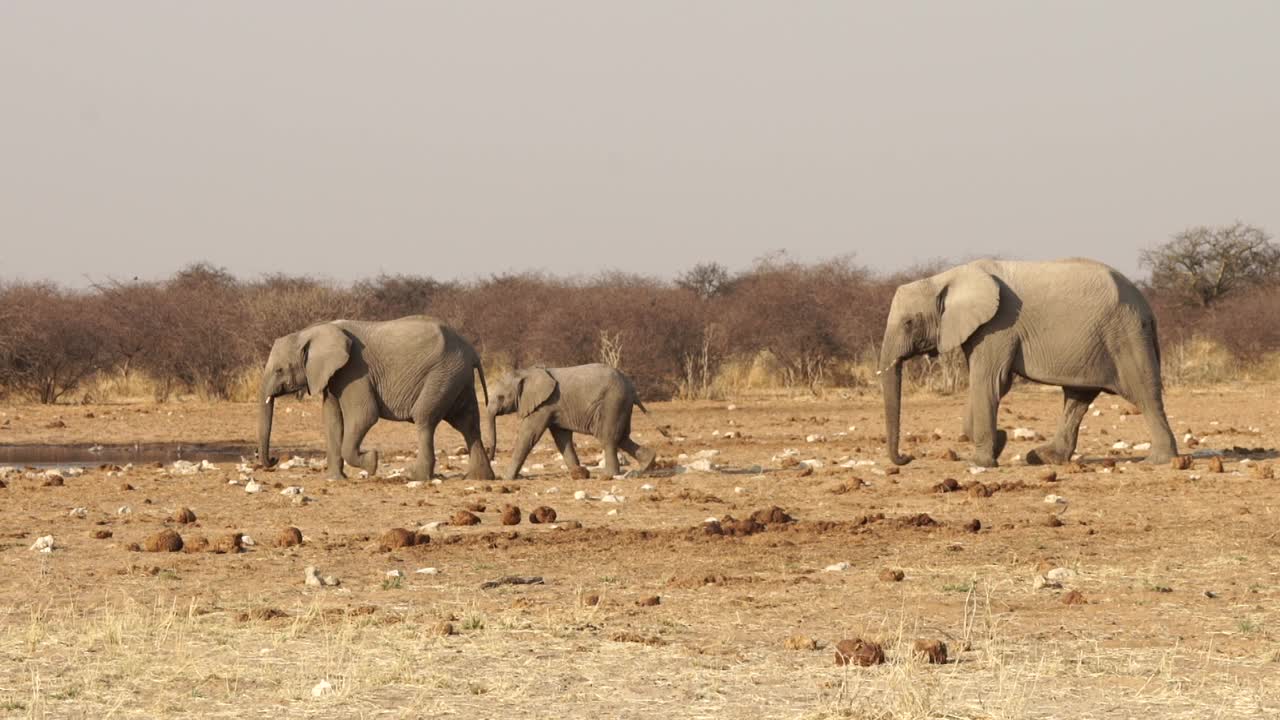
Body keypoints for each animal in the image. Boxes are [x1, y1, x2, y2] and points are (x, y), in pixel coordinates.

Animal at [256, 312, 494, 476]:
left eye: (279, 370)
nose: (274, 459)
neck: (312, 331)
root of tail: (472, 351)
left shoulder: (354, 370)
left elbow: (364, 416)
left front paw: (371, 462)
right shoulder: (332, 374)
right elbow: (332, 420)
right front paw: (334, 479)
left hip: (443, 373)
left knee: (425, 418)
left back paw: (415, 476)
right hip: (457, 377)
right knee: (467, 423)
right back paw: (478, 478)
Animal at [481, 363, 660, 476]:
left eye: (501, 397)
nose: (491, 458)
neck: (527, 372)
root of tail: (631, 387)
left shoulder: (544, 405)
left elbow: (529, 434)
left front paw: (506, 478)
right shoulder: (555, 407)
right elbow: (562, 437)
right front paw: (578, 473)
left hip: (613, 402)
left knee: (608, 437)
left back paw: (610, 474)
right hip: (621, 405)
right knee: (622, 437)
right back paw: (647, 464)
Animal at [880, 257, 1177, 466]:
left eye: (909, 323)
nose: (908, 458)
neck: (947, 278)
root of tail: (1148, 307)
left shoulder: (998, 326)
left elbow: (990, 382)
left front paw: (983, 461)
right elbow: (988, 385)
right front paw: (998, 441)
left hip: (1125, 335)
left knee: (1143, 393)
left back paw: (1158, 460)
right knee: (1078, 398)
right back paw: (1043, 457)